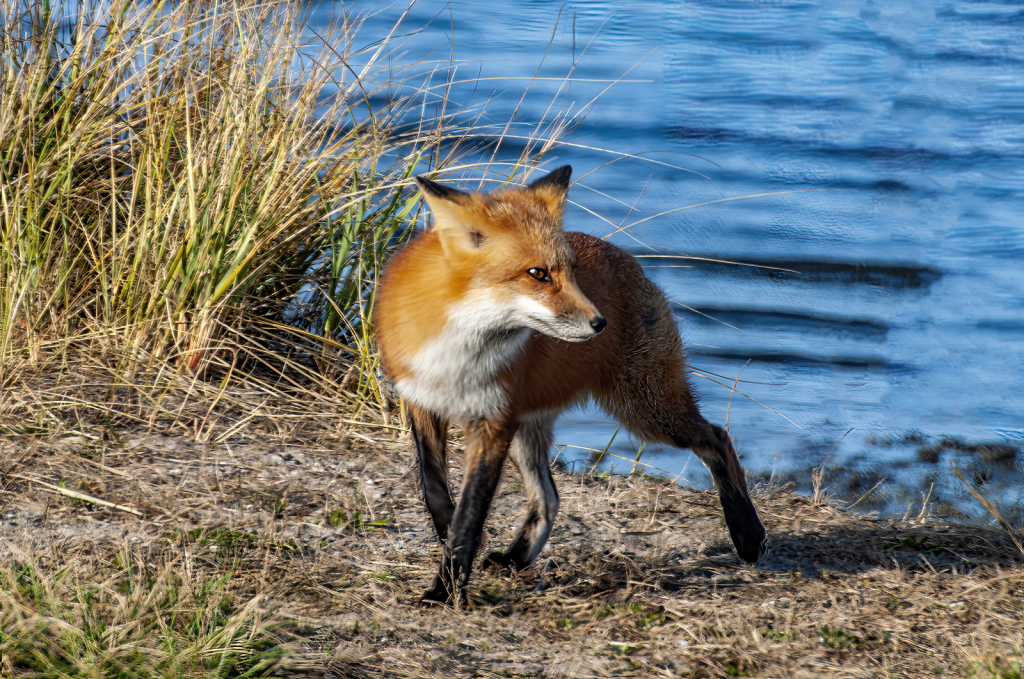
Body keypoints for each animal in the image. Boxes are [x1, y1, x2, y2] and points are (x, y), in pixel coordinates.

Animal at [376, 165, 770, 606]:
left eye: (572, 271)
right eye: (538, 273)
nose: (600, 323)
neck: (460, 347)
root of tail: (629, 260)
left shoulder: (492, 422)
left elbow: (470, 515)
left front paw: (446, 588)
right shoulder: (423, 403)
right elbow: (437, 496)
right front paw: (451, 557)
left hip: (645, 412)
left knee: (717, 437)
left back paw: (747, 534)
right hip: (531, 428)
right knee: (550, 499)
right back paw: (516, 559)